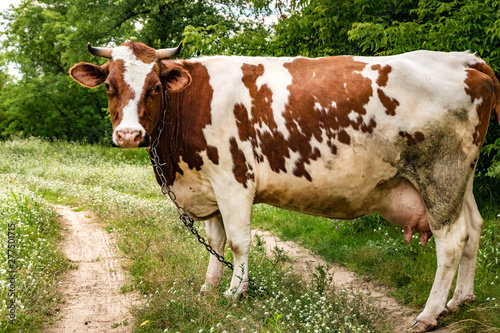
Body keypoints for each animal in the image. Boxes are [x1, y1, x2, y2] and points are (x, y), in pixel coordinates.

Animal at [70, 42, 500, 332]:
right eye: (109, 86)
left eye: (155, 87)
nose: (128, 134)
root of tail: (466, 59)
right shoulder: (209, 185)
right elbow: (216, 240)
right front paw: (209, 288)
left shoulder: (232, 181)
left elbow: (238, 241)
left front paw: (236, 293)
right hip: (462, 180)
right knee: (474, 229)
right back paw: (459, 301)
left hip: (439, 176)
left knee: (452, 240)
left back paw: (429, 314)